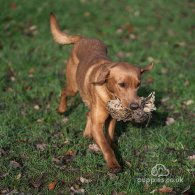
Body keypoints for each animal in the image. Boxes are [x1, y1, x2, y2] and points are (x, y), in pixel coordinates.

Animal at [50, 13, 154, 172]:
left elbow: (109, 137)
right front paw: (113, 164)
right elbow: (105, 146)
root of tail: (83, 38)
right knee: (64, 92)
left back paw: (87, 133)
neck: (110, 95)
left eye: (138, 85)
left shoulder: (111, 120)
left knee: (88, 114)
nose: (135, 106)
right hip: (74, 87)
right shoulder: (98, 124)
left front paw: (114, 147)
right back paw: (62, 109)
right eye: (122, 84)